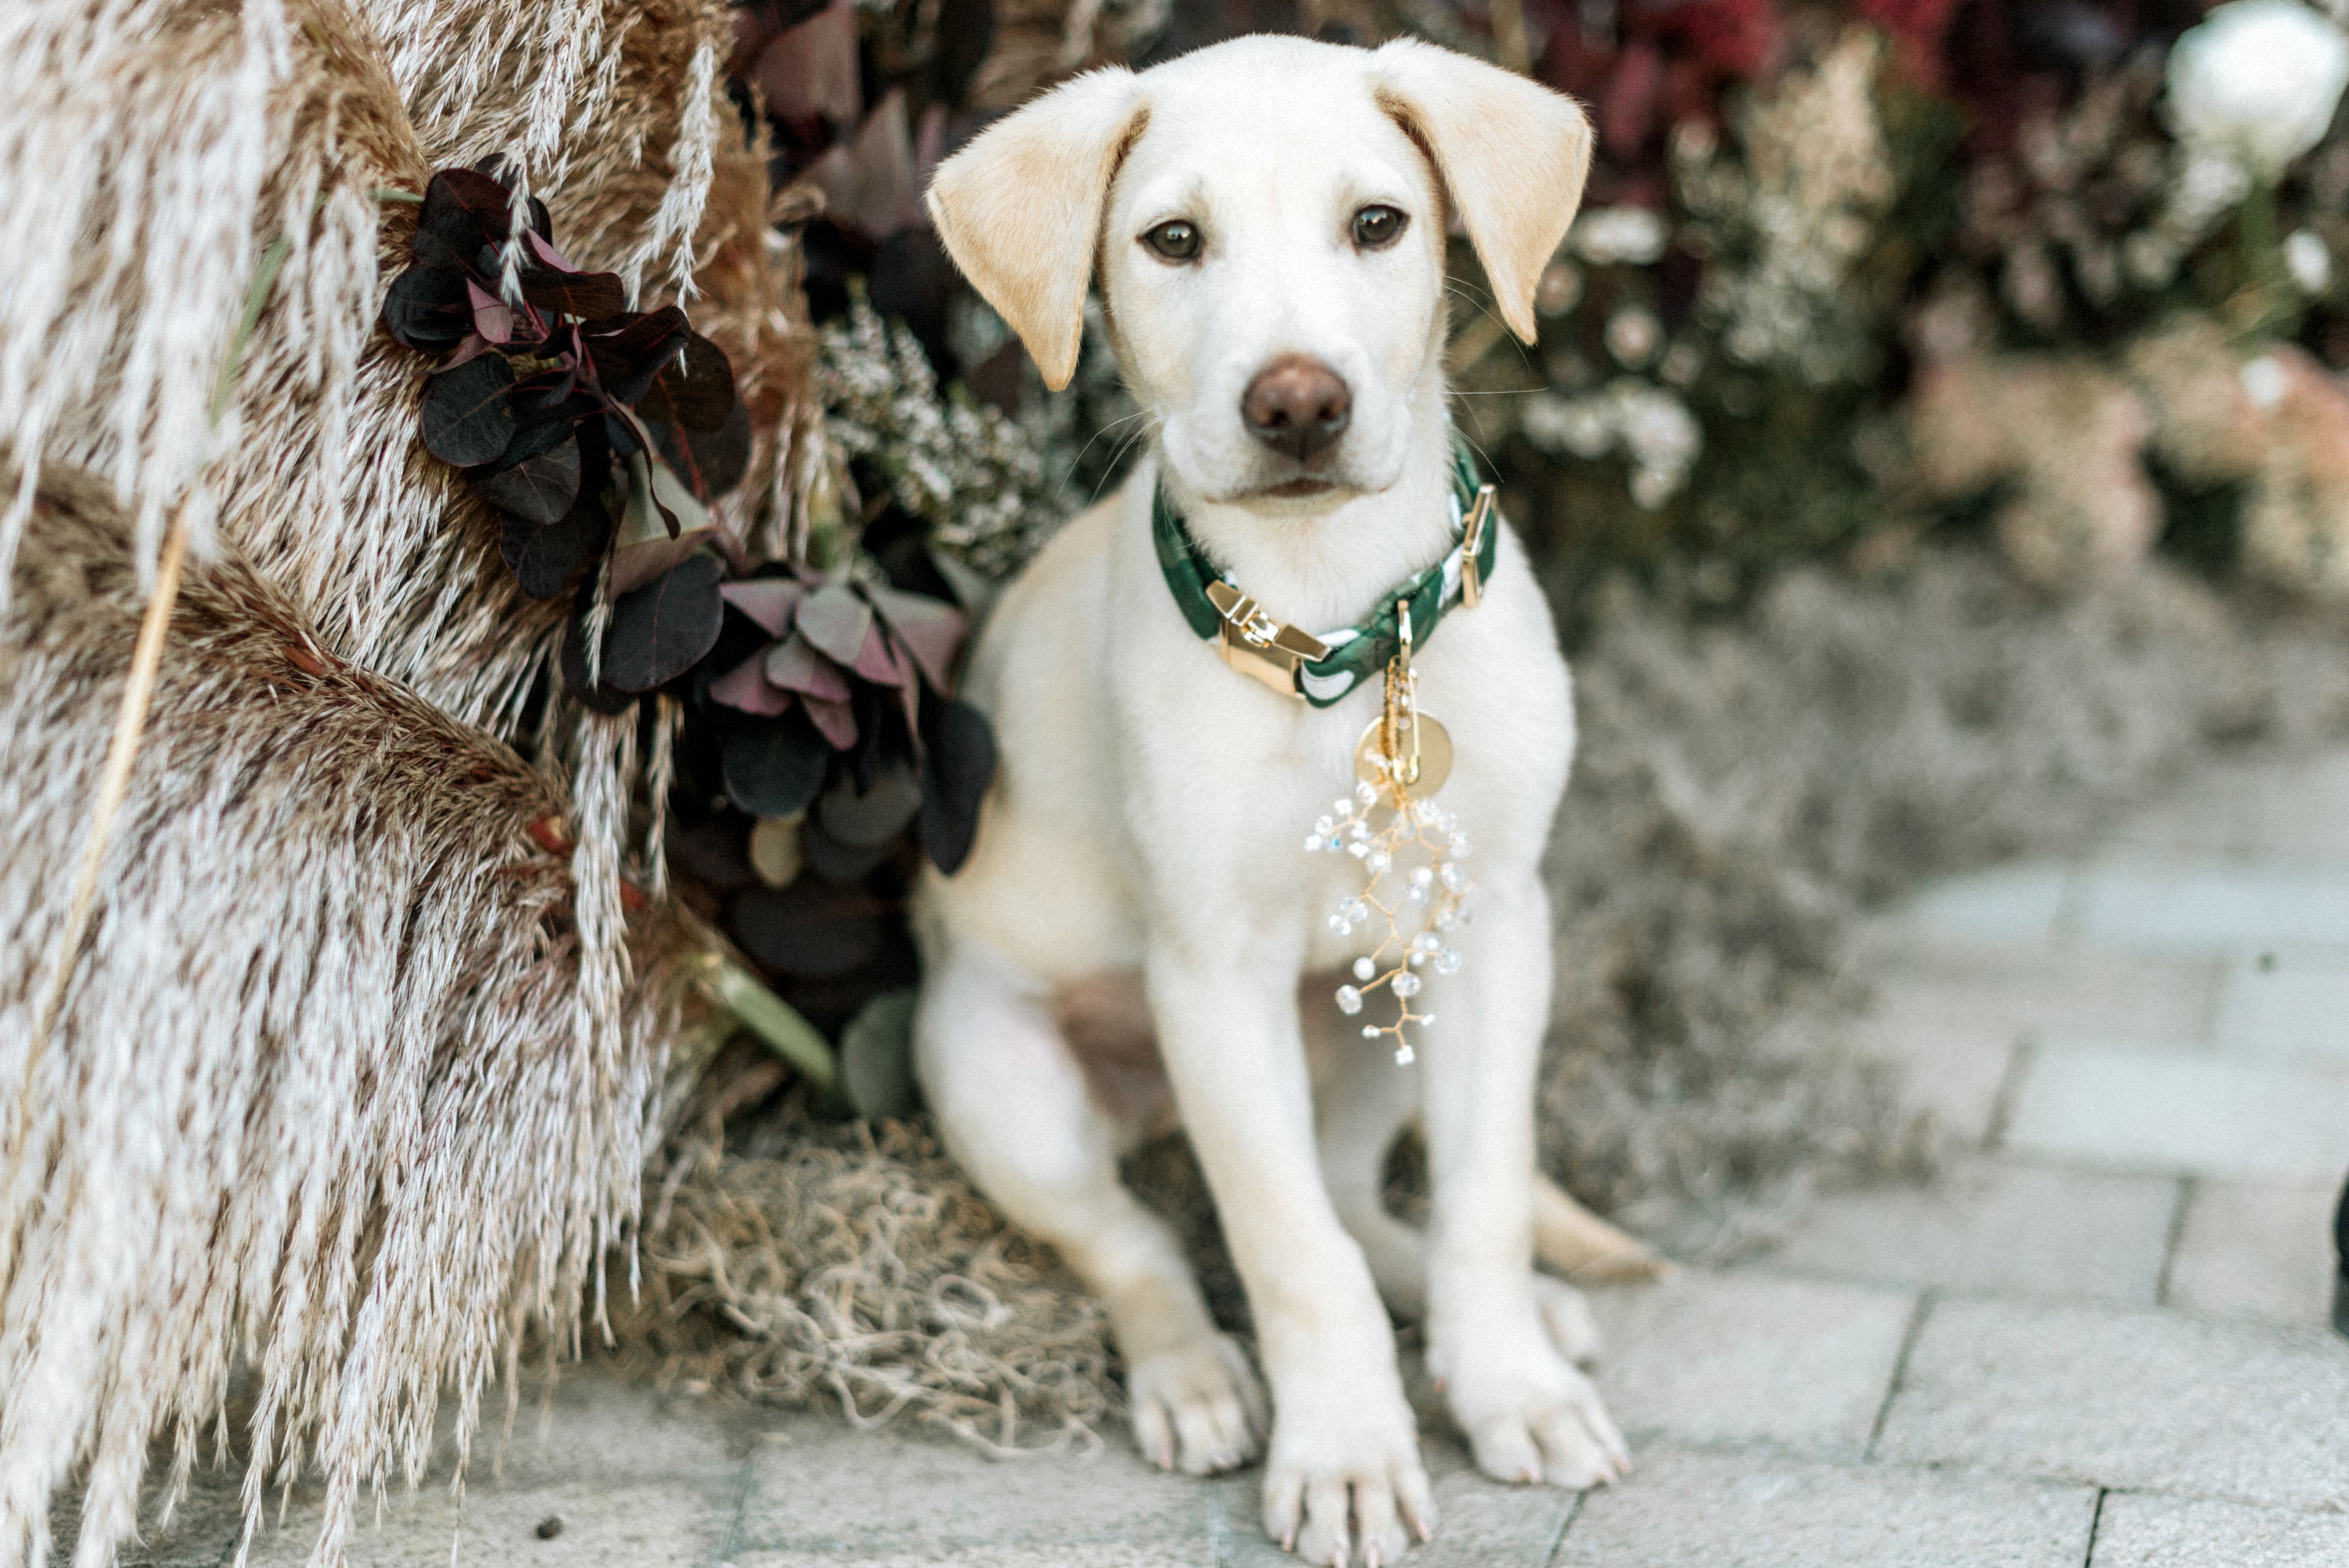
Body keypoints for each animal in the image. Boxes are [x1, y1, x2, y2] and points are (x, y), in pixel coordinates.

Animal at [916, 31, 1635, 1558]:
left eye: (1378, 224)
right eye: (1173, 241)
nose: (1298, 402)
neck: (1338, 631)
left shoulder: (1497, 928)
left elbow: (1483, 1195)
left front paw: (1509, 1383)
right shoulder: (1211, 980)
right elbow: (1286, 1249)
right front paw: (1350, 1448)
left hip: (1374, 1017)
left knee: (1365, 1201)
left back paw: (1504, 1324)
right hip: (996, 1079)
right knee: (1136, 1243)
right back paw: (1195, 1378)